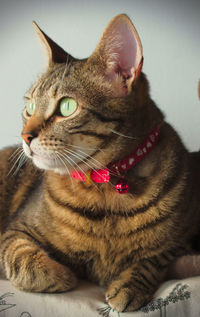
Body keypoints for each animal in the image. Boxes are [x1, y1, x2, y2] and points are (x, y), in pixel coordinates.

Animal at [0, 12, 200, 312]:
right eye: (30, 107)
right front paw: (60, 274)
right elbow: (22, 258)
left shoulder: (183, 238)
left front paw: (129, 285)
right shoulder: (15, 230)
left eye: (67, 107)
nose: (25, 136)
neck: (104, 187)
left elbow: (152, 257)